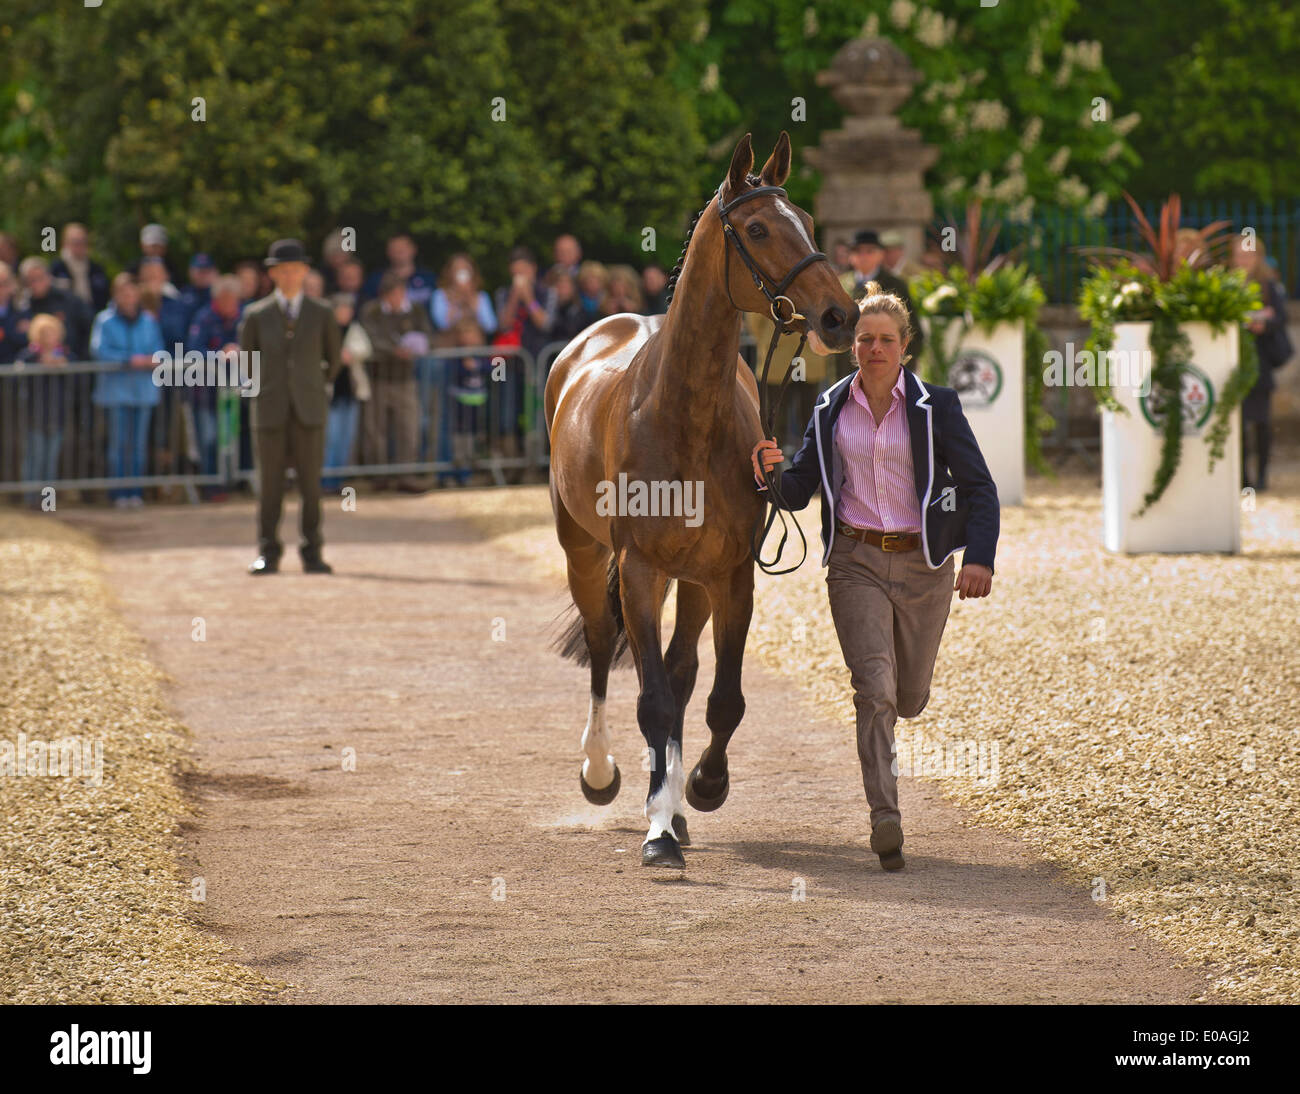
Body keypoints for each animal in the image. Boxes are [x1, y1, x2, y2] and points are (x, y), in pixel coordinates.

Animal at [544, 131, 859, 868]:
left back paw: (675, 799)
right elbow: (652, 699)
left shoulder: (731, 574)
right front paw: (658, 833)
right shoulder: (636, 568)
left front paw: (701, 788)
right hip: (585, 552)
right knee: (604, 648)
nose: (840, 315)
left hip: (687, 580)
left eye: (807, 217)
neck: (681, 415)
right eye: (758, 227)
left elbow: (720, 700)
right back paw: (603, 774)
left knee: (680, 671)